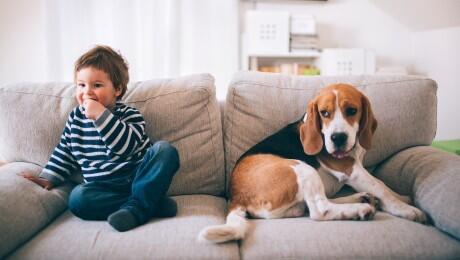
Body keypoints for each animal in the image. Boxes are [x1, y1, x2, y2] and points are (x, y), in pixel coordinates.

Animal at [199, 83, 428, 244]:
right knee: (319, 210)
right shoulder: (352, 171)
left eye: (352, 110)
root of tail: (236, 197)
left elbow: (384, 186)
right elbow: (382, 187)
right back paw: (360, 209)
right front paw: (407, 209)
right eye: (324, 113)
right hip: (302, 168)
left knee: (313, 205)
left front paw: (402, 197)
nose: (337, 138)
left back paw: (361, 199)